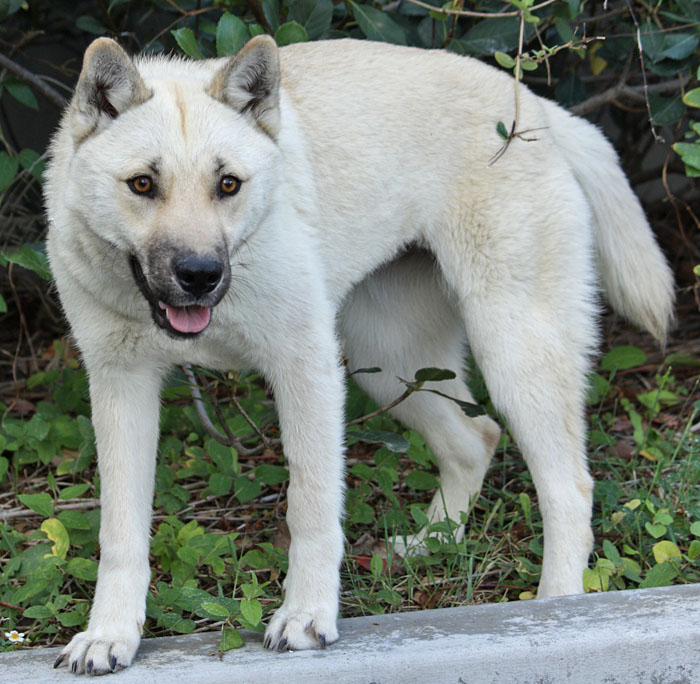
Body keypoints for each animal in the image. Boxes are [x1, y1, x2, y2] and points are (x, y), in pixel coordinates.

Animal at [43, 36, 672, 672]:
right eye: (143, 185)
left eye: (229, 185)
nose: (201, 275)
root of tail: (534, 105)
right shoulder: (121, 386)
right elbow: (120, 533)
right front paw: (110, 635)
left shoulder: (307, 371)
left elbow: (312, 509)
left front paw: (306, 616)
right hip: (392, 362)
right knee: (477, 440)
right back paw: (429, 545)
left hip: (513, 353)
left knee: (569, 488)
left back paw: (557, 607)